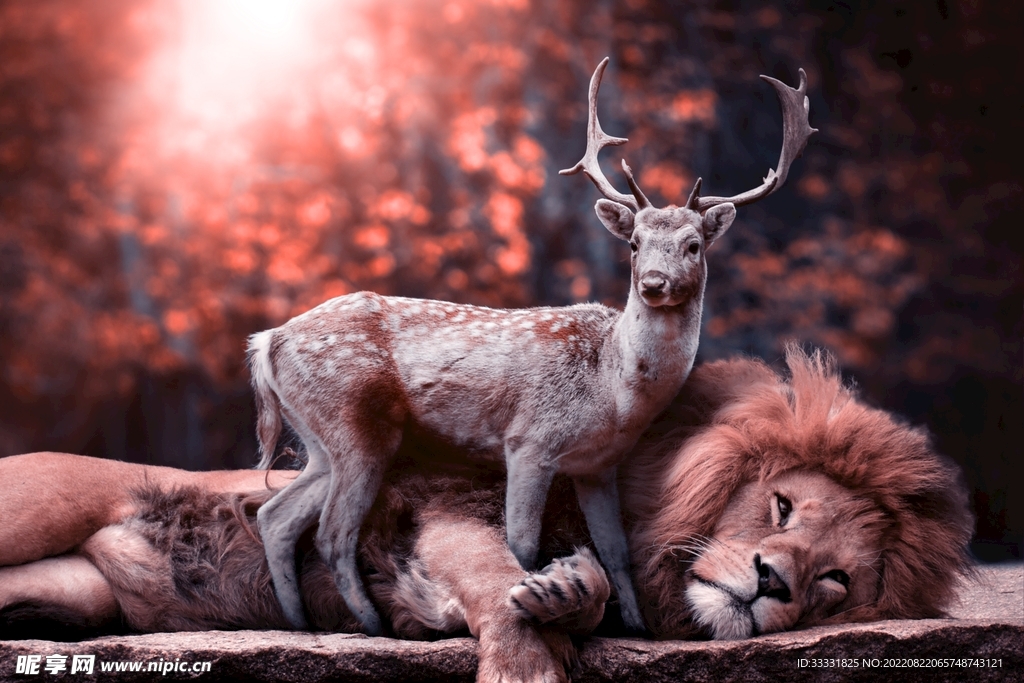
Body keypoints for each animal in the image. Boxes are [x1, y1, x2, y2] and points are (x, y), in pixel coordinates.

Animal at [247, 57, 816, 636]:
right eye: (635, 244)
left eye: (694, 245)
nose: (654, 283)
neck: (613, 391)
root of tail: (267, 341)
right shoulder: (529, 440)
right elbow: (522, 543)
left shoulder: (598, 465)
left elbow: (617, 551)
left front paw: (636, 626)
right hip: (356, 423)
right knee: (332, 533)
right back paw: (373, 624)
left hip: (321, 439)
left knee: (275, 516)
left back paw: (299, 621)